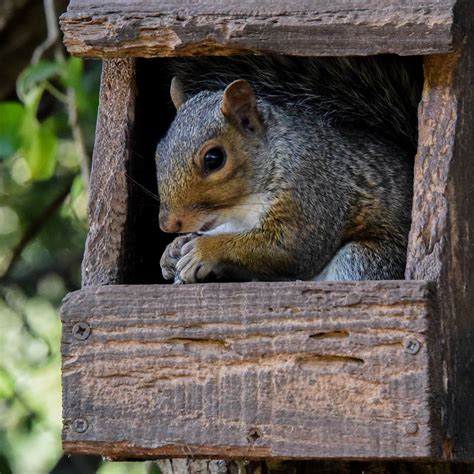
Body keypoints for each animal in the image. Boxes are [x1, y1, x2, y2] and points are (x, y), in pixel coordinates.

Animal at [156, 57, 422, 284]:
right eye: (158, 151)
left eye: (214, 159)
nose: (168, 225)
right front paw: (173, 249)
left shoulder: (313, 190)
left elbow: (291, 249)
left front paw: (203, 250)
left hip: (363, 258)